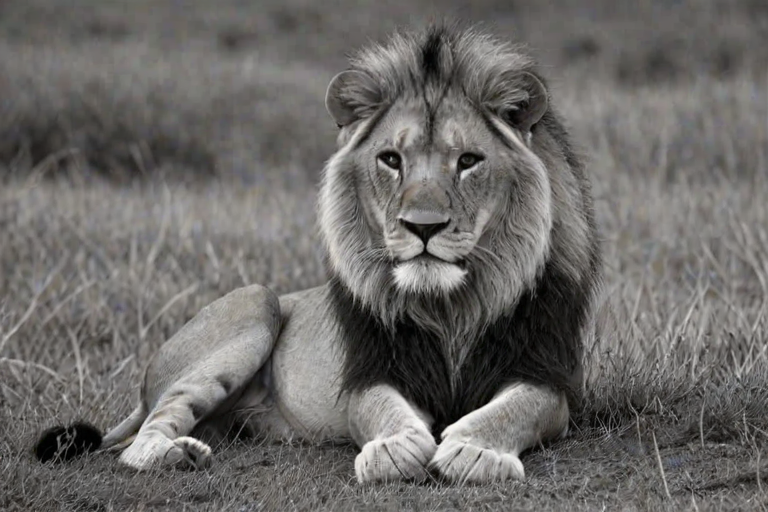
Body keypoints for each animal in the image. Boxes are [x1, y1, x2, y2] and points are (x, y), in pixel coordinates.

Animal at [35, 23, 602, 485]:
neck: (450, 307)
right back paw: (176, 454)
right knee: (142, 437)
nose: (422, 227)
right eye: (390, 160)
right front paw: (394, 448)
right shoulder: (369, 373)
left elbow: (516, 409)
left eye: (468, 161)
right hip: (255, 300)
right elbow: (382, 410)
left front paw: (473, 449)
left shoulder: (550, 378)